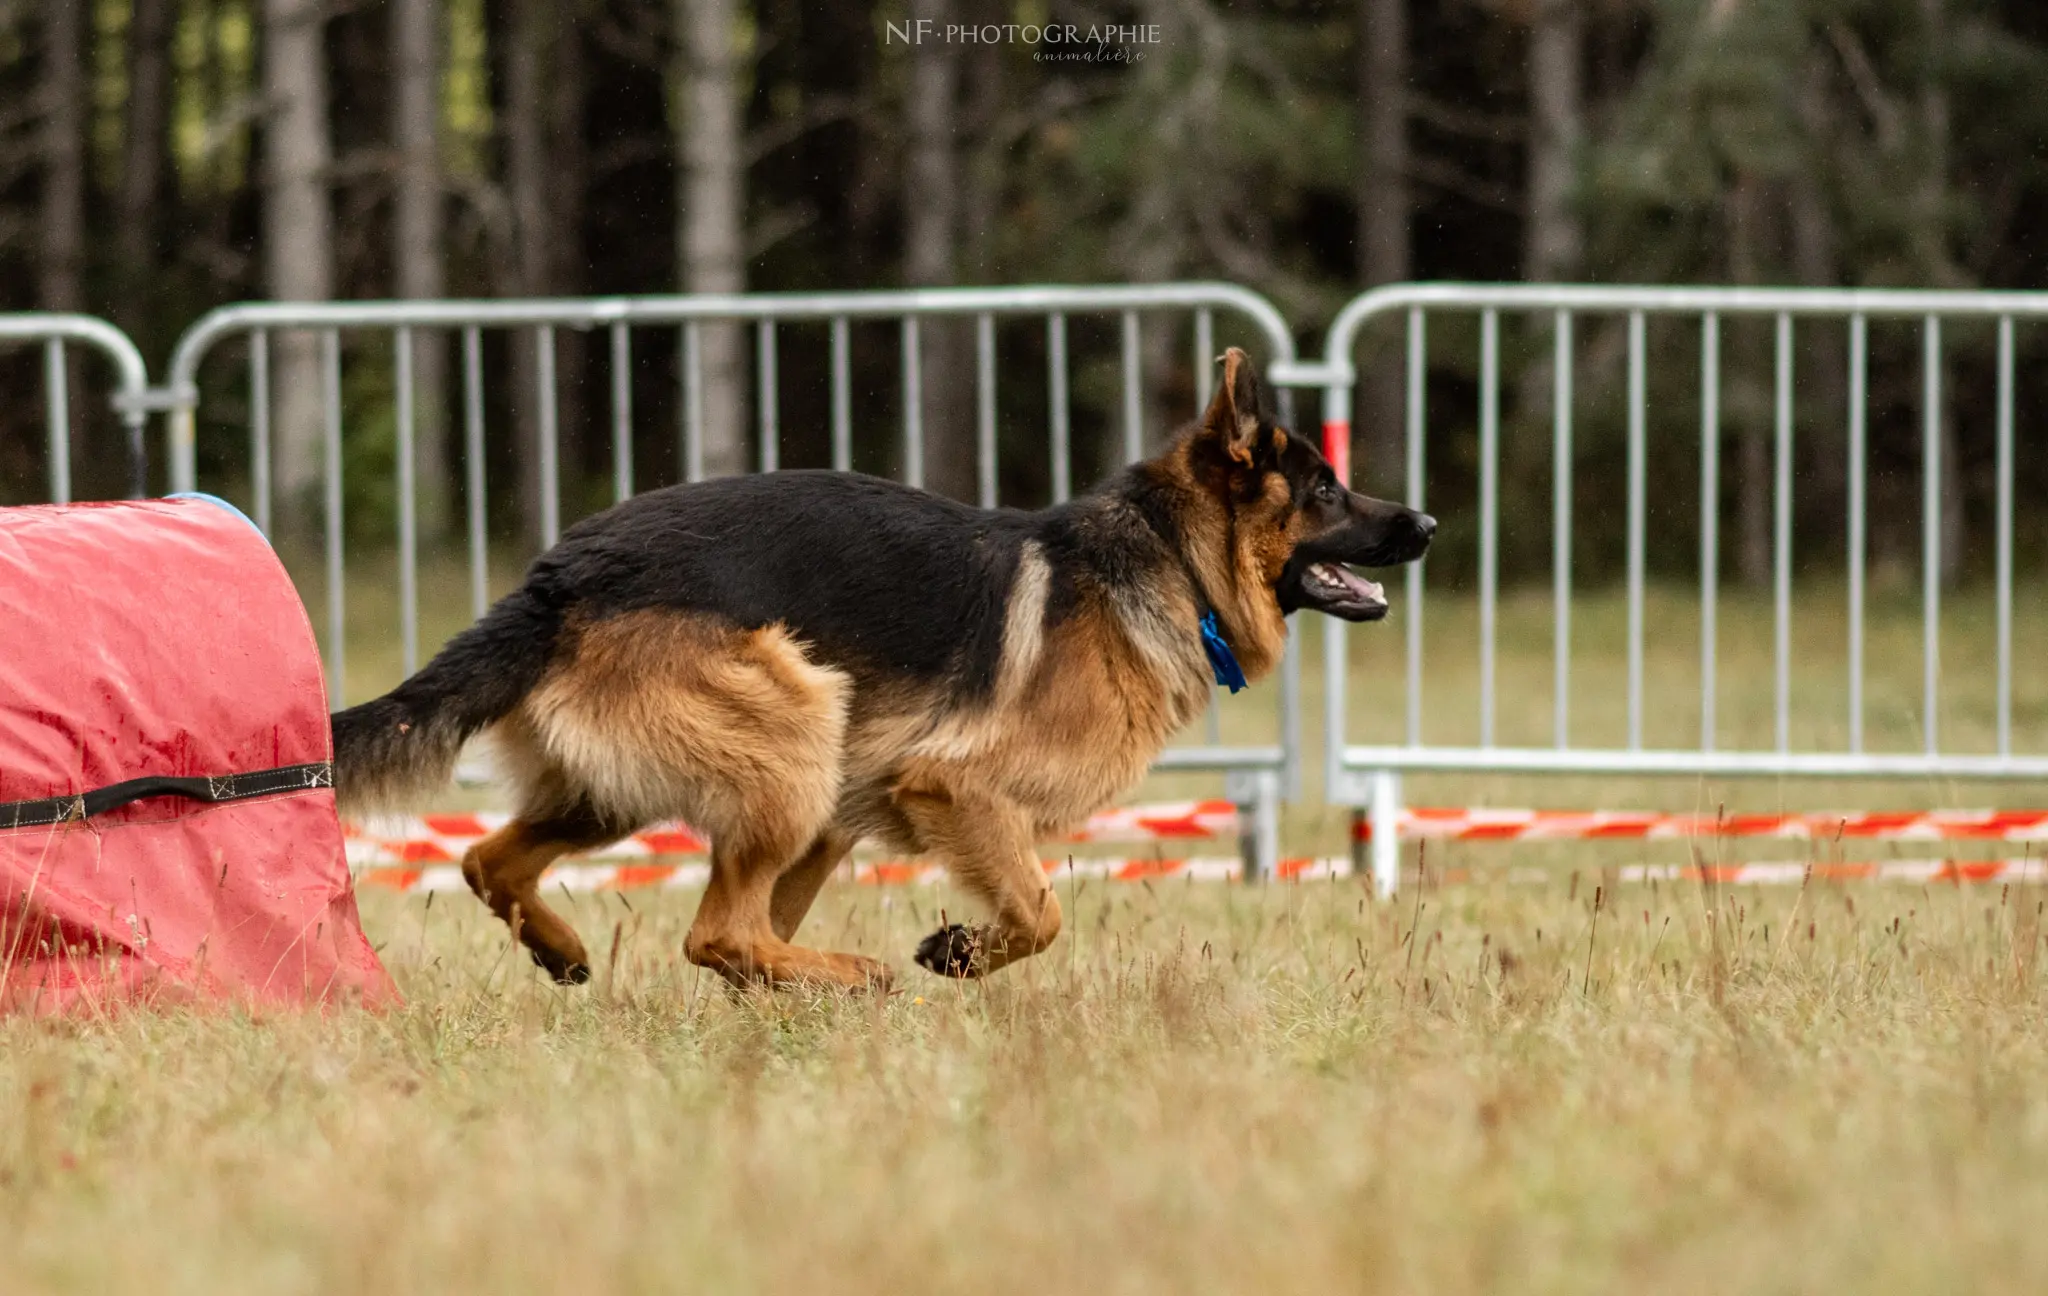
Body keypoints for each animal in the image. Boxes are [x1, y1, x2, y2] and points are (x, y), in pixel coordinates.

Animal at [331, 348, 1425, 986]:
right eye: (1327, 490)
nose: (1428, 525)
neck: (1168, 560)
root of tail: (562, 574)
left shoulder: (870, 812)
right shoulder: (956, 789)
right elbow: (1041, 912)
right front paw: (959, 954)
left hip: (671, 792)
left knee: (495, 861)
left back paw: (577, 953)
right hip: (796, 731)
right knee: (716, 932)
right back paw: (849, 976)